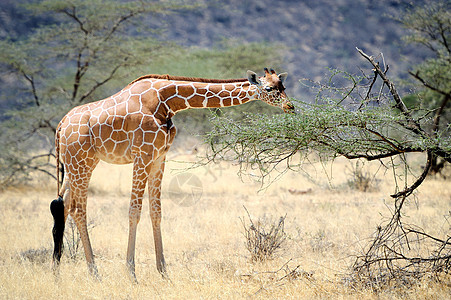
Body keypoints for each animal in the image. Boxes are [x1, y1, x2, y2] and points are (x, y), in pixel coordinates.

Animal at [51, 68, 294, 278]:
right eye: (269, 89)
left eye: (283, 86)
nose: (290, 106)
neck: (167, 102)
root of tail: (60, 126)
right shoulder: (142, 155)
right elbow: (134, 211)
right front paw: (131, 273)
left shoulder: (160, 156)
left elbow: (156, 212)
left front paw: (163, 272)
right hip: (80, 161)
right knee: (78, 210)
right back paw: (94, 273)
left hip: (79, 163)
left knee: (62, 205)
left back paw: (56, 272)